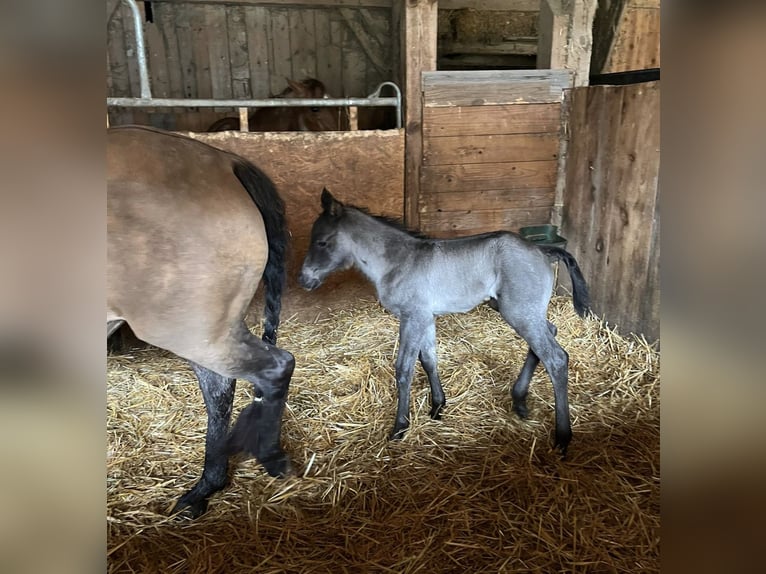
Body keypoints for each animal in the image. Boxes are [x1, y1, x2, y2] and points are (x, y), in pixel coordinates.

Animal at [109, 127, 296, 520]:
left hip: (191, 330)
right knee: (221, 390)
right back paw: (207, 487)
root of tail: (226, 162)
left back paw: (265, 460)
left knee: (272, 368)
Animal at [296, 191, 592, 456]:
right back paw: (519, 401)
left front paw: (400, 428)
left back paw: (562, 438)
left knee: (555, 357)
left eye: (322, 242)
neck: (398, 262)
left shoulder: (412, 317)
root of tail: (542, 250)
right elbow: (429, 360)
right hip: (521, 311)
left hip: (518, 312)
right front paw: (438, 407)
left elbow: (404, 369)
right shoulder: (425, 318)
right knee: (549, 334)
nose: (304, 280)